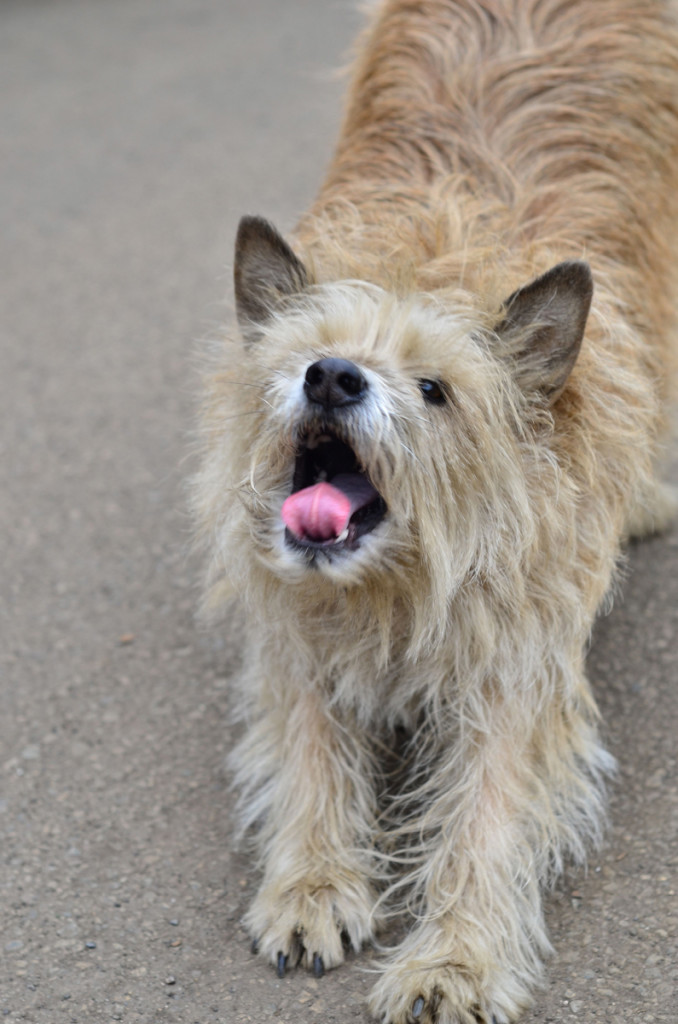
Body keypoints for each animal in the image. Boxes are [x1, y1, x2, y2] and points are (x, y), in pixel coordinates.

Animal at [192, 2, 678, 1024]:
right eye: (310, 353)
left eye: (433, 388)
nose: (332, 376)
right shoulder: (299, 644)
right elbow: (311, 755)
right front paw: (311, 883)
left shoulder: (517, 675)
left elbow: (484, 819)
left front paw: (454, 958)